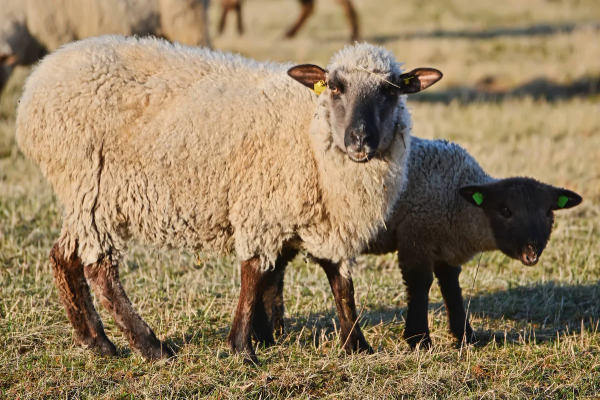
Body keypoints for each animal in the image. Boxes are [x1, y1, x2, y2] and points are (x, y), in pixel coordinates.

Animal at [16, 36, 442, 362]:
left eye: (390, 91)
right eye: (335, 87)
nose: (359, 140)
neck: (309, 129)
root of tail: (36, 83)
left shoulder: (319, 218)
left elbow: (337, 282)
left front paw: (354, 344)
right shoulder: (262, 206)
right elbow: (253, 275)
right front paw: (242, 348)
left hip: (82, 196)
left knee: (63, 256)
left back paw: (96, 342)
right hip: (93, 188)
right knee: (99, 269)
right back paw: (151, 347)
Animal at [262, 138, 580, 350]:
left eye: (548, 212)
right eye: (505, 210)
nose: (532, 251)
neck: (457, 199)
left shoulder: (444, 247)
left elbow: (451, 287)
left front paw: (465, 336)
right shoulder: (416, 236)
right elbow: (420, 284)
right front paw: (418, 339)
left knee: (273, 273)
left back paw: (273, 331)